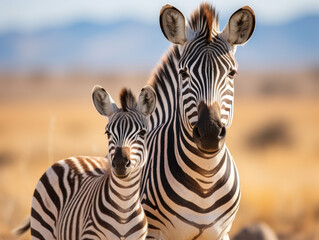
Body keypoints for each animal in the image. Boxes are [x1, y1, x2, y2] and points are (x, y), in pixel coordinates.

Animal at [16, 85, 157, 239]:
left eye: (142, 133)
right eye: (108, 133)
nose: (120, 163)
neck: (123, 207)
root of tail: (70, 158)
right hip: (41, 230)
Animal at [141, 2, 256, 240]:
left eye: (232, 73)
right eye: (183, 73)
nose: (210, 133)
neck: (205, 177)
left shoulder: (221, 233)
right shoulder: (153, 232)